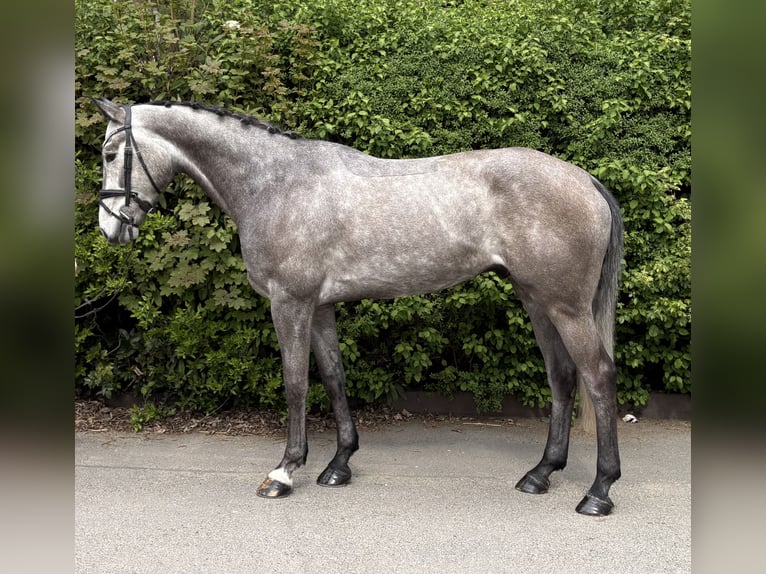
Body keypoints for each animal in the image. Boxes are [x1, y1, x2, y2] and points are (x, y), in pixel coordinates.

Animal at [92, 97, 623, 516]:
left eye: (111, 153)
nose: (110, 228)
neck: (276, 183)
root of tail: (586, 180)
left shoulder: (290, 303)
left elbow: (295, 384)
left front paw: (284, 472)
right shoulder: (320, 307)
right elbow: (332, 377)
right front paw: (339, 464)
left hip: (566, 306)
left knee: (597, 375)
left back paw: (598, 491)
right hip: (537, 300)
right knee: (562, 377)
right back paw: (541, 473)